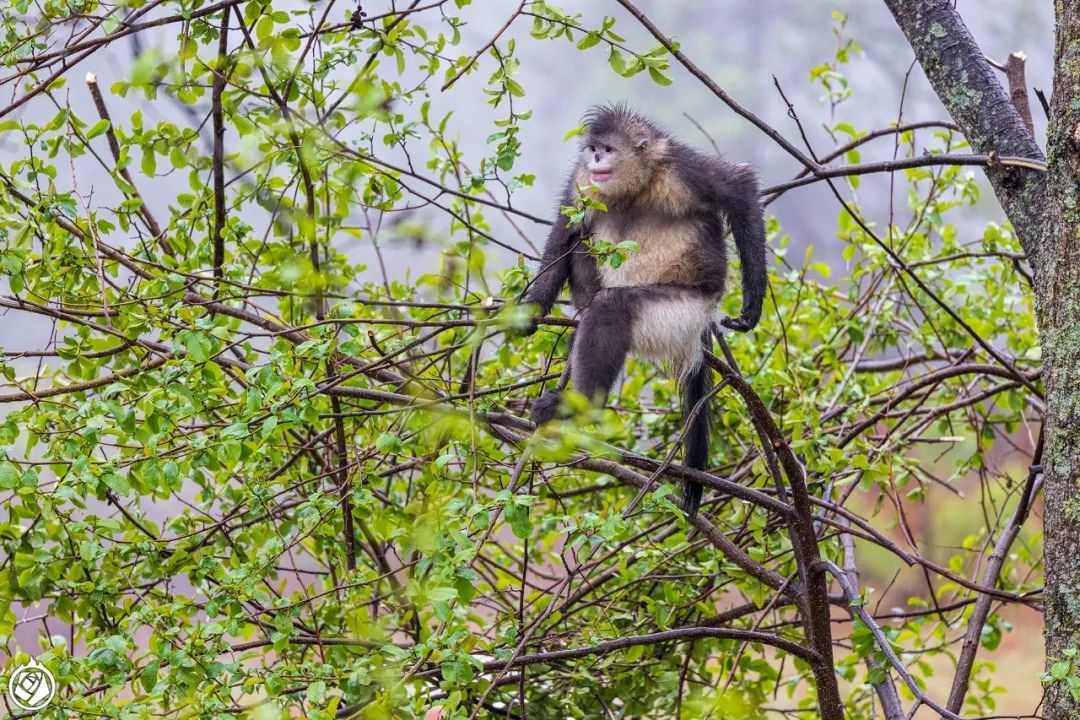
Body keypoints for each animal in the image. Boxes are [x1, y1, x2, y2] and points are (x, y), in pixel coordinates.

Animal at [514, 104, 768, 515]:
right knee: (585, 255)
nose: (596, 159)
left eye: (608, 149)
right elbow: (566, 228)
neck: (636, 187)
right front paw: (531, 309)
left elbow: (740, 187)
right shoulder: (582, 180)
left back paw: (581, 409)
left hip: (681, 316)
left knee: (611, 308)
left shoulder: (681, 169)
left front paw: (753, 303)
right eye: (594, 149)